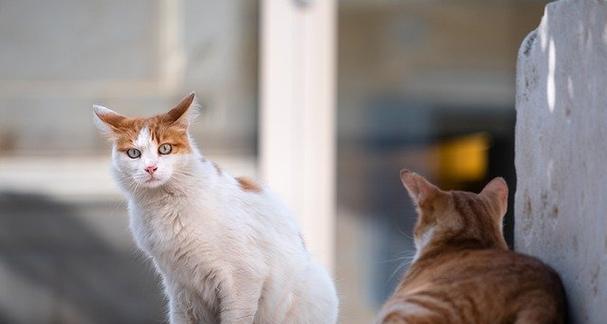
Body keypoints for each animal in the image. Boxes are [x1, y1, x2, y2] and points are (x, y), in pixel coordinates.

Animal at [93, 93, 340, 324]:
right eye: (134, 153)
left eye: (165, 149)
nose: (150, 168)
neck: (163, 205)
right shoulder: (180, 288)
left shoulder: (242, 279)